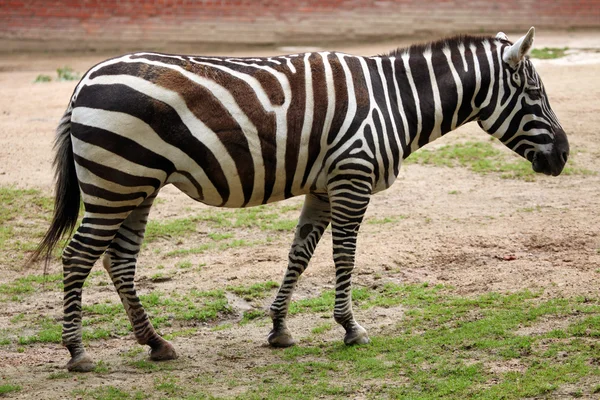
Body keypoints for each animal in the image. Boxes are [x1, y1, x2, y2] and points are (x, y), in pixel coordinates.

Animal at [31, 27, 568, 372]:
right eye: (535, 95)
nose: (564, 156)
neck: (395, 100)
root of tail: (85, 78)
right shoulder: (353, 176)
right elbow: (344, 256)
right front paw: (351, 328)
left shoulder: (324, 185)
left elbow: (300, 254)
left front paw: (279, 329)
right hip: (117, 180)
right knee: (78, 257)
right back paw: (77, 353)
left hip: (135, 185)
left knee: (118, 260)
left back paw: (156, 343)